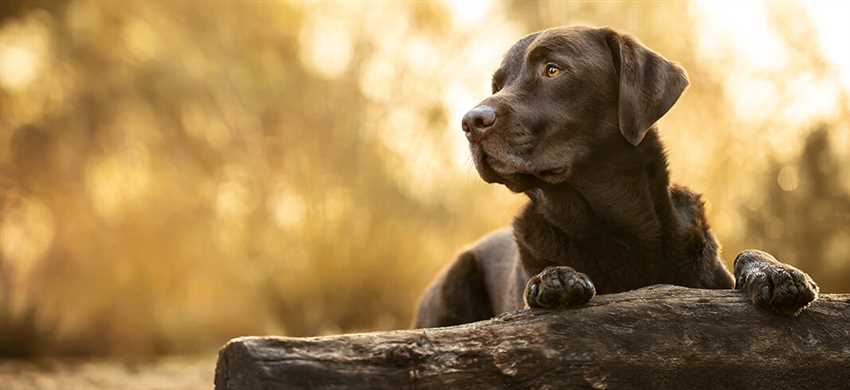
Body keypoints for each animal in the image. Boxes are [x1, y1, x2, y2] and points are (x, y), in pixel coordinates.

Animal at [414, 25, 820, 328]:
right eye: (498, 84)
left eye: (552, 69)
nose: (470, 122)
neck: (622, 229)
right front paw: (554, 278)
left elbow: (748, 253)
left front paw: (777, 272)